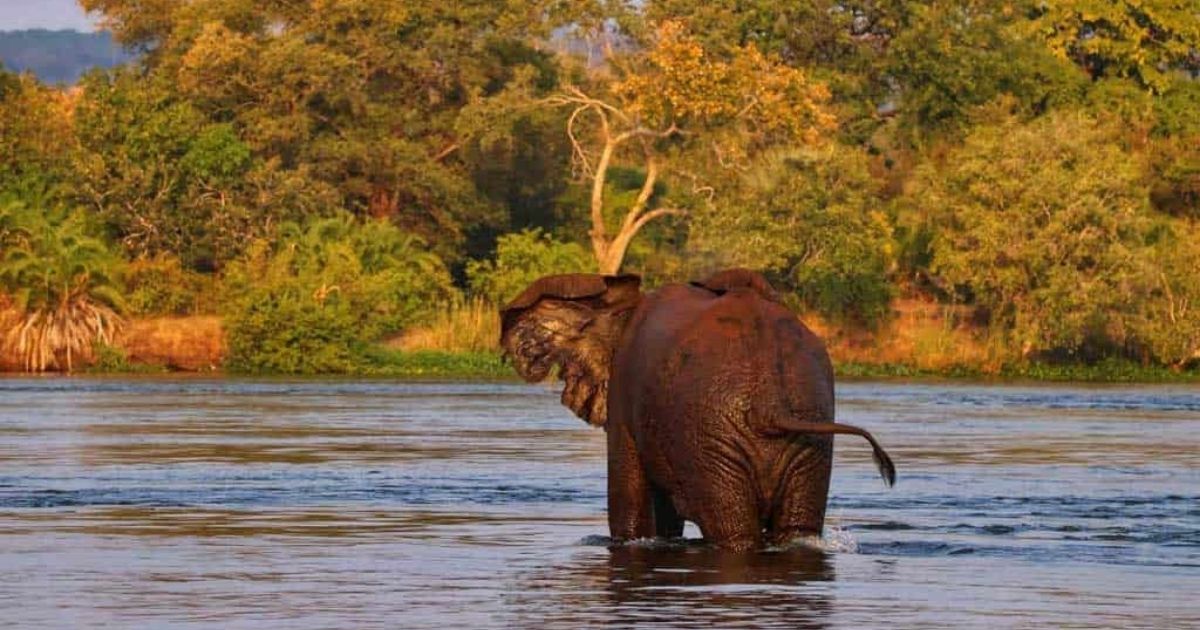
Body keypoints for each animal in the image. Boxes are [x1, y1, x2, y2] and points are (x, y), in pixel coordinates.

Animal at [500, 268, 895, 551]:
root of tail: (769, 402)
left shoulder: (626, 396)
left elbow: (632, 507)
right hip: (808, 426)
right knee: (796, 527)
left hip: (710, 433)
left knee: (731, 530)